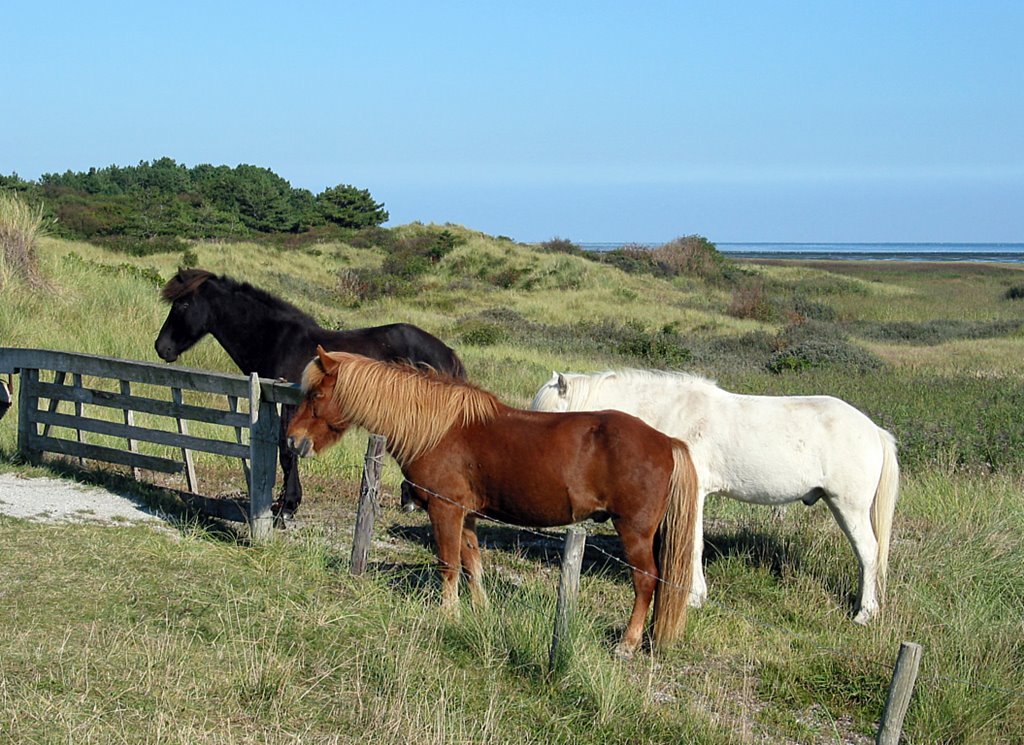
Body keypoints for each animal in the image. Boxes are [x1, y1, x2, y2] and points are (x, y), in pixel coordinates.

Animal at [153, 268, 466, 517]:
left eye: (182, 305)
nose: (162, 347)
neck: (277, 340)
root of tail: (447, 354)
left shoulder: (289, 407)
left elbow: (286, 451)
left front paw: (288, 506)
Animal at [288, 345, 704, 654]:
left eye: (317, 394)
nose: (293, 441)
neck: (439, 430)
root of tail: (667, 442)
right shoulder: (466, 513)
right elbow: (472, 562)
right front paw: (479, 610)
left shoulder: (445, 509)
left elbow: (448, 564)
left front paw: (449, 615)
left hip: (634, 532)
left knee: (646, 582)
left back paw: (628, 643)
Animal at [532, 370, 901, 622]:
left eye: (548, 414)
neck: (672, 414)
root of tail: (874, 430)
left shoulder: (694, 493)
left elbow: (692, 543)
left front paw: (694, 596)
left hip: (849, 507)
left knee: (869, 553)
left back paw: (865, 613)